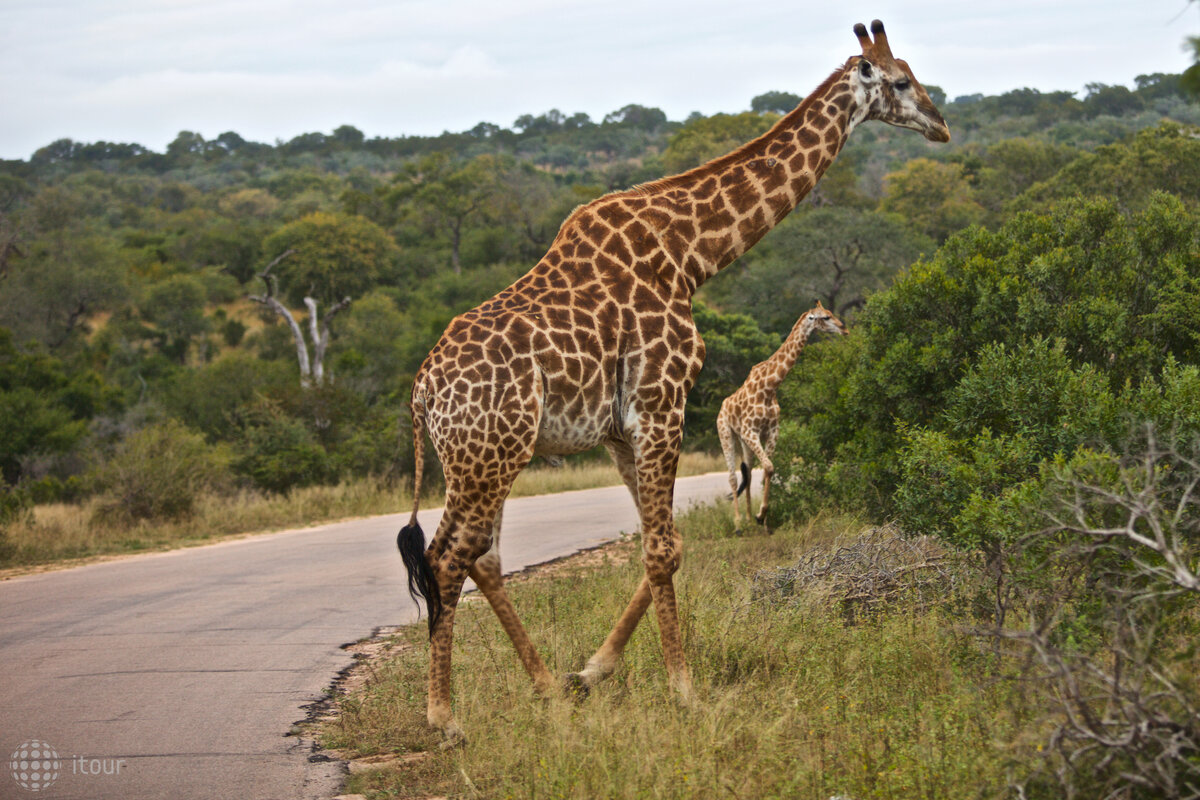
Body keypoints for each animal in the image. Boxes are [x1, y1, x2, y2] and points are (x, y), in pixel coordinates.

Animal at [715, 299, 849, 532]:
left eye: (831, 313)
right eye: (825, 317)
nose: (845, 329)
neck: (770, 387)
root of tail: (722, 407)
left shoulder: (771, 431)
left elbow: (768, 470)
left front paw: (763, 520)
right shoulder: (751, 431)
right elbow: (768, 467)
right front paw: (760, 516)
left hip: (743, 441)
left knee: (747, 473)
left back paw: (748, 519)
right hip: (727, 434)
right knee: (732, 476)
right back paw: (739, 524)